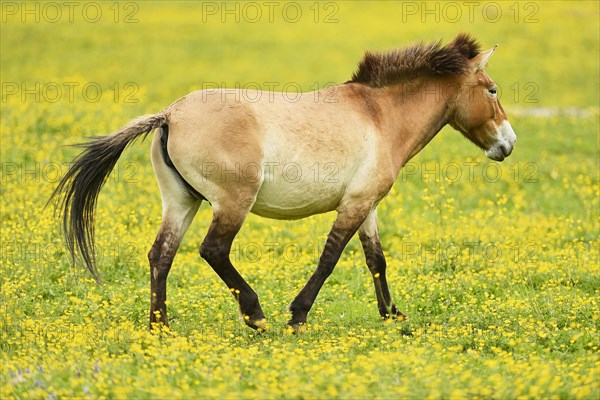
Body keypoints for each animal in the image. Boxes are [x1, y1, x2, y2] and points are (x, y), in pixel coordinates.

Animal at [50, 33, 516, 332]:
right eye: (492, 90)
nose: (508, 144)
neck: (378, 115)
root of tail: (169, 115)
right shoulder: (354, 205)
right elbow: (330, 259)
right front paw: (297, 316)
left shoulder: (368, 204)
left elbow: (376, 260)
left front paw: (392, 315)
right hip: (232, 203)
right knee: (212, 250)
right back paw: (255, 316)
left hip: (182, 202)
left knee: (160, 255)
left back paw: (159, 327)